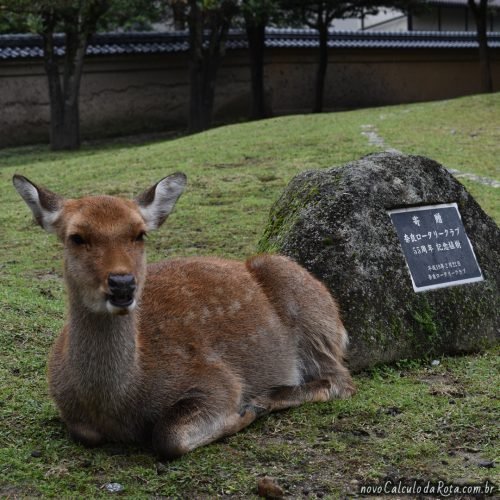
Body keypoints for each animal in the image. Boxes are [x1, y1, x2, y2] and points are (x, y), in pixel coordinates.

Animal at [12, 174, 356, 458]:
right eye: (76, 236)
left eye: (140, 234)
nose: (122, 284)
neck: (117, 402)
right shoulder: (73, 416)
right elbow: (85, 434)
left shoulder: (216, 378)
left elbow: (167, 436)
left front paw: (246, 411)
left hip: (313, 321)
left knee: (341, 380)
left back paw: (268, 398)